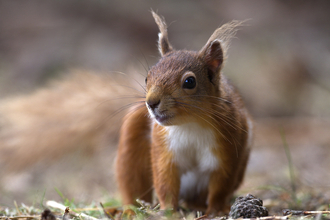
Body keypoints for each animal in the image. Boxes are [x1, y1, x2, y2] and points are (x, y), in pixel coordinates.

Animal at [114, 12, 251, 215]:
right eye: (147, 77)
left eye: (189, 82)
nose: (151, 102)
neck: (190, 124)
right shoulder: (164, 150)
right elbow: (165, 182)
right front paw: (168, 211)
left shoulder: (227, 150)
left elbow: (220, 186)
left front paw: (216, 211)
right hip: (131, 147)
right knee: (133, 184)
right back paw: (132, 211)